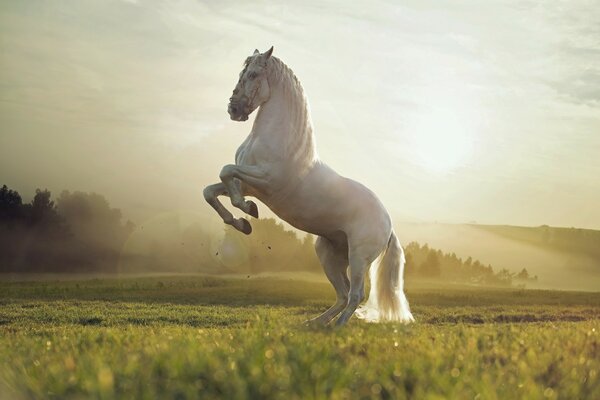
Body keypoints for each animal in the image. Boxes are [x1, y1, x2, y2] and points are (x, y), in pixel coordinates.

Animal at [204, 47, 414, 324]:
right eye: (242, 72)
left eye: (253, 74)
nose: (234, 109)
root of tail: (388, 224)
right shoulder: (249, 184)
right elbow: (212, 190)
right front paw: (242, 222)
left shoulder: (265, 180)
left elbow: (226, 171)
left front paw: (247, 210)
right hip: (328, 254)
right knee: (343, 294)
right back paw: (315, 324)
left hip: (359, 257)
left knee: (355, 295)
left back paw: (336, 328)